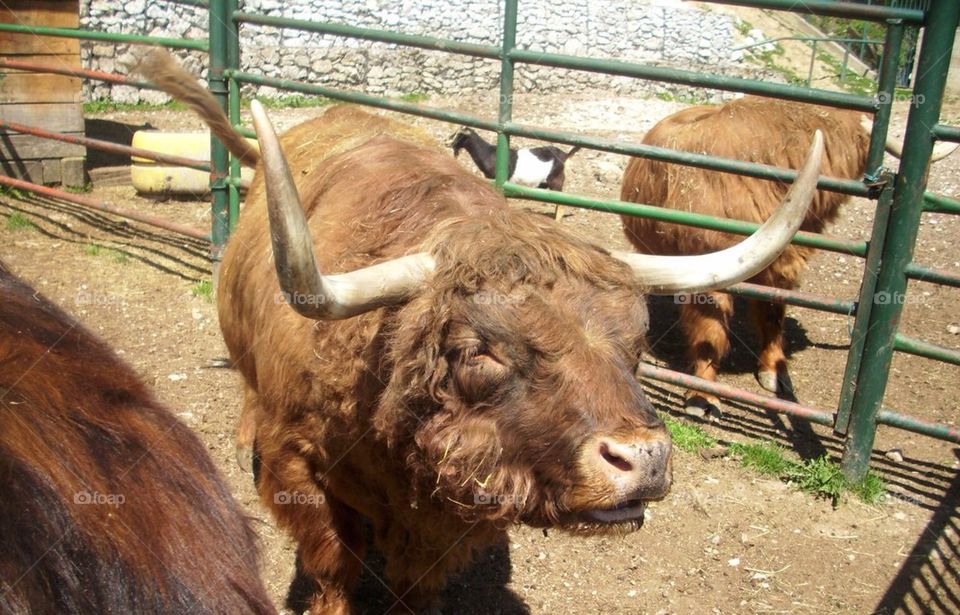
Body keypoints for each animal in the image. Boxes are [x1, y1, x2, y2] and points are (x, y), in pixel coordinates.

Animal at [138, 52, 822, 613]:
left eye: (635, 344)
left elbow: (418, 585)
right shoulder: (301, 476)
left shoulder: (445, 523)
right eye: (477, 351)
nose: (643, 459)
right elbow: (334, 570)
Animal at [620, 95, 956, 417]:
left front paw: (774, 371)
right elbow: (710, 333)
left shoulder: (780, 265)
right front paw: (703, 396)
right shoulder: (709, 265)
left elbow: (772, 313)